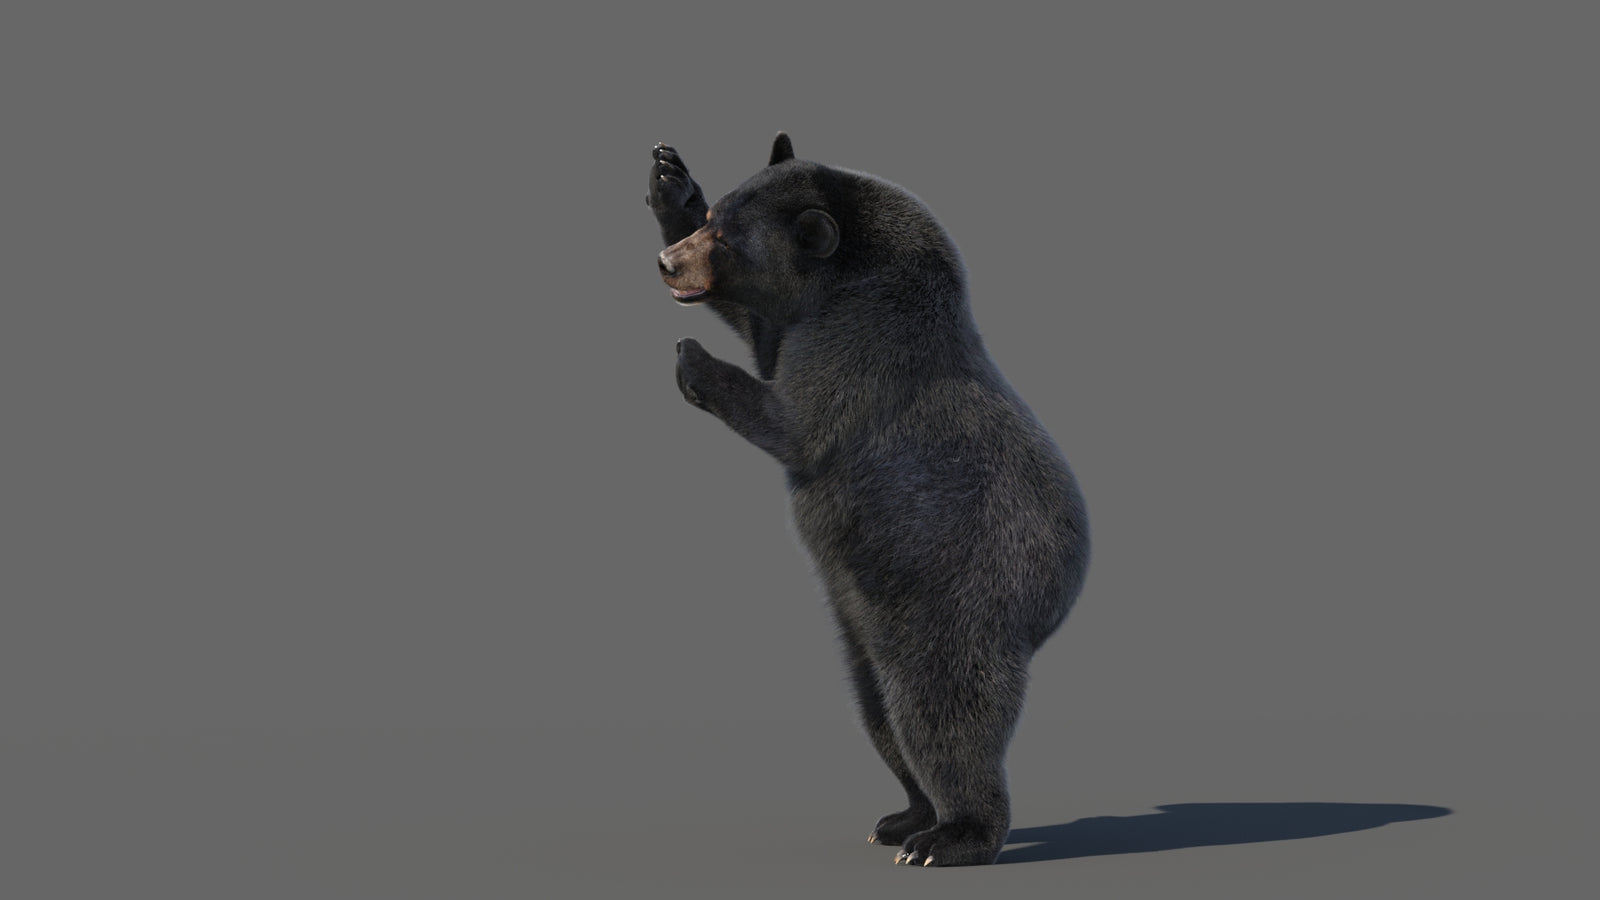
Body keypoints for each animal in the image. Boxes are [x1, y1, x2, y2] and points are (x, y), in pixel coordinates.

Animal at [645, 133, 1089, 867]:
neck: (852, 276)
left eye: (730, 240)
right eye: (712, 220)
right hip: (865, 624)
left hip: (957, 606)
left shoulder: (862, 343)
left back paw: (952, 836)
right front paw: (668, 180)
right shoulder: (805, 317)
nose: (667, 263)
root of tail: (1057, 602)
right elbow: (761, 330)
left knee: (941, 718)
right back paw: (904, 817)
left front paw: (692, 358)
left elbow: (795, 420)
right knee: (878, 711)